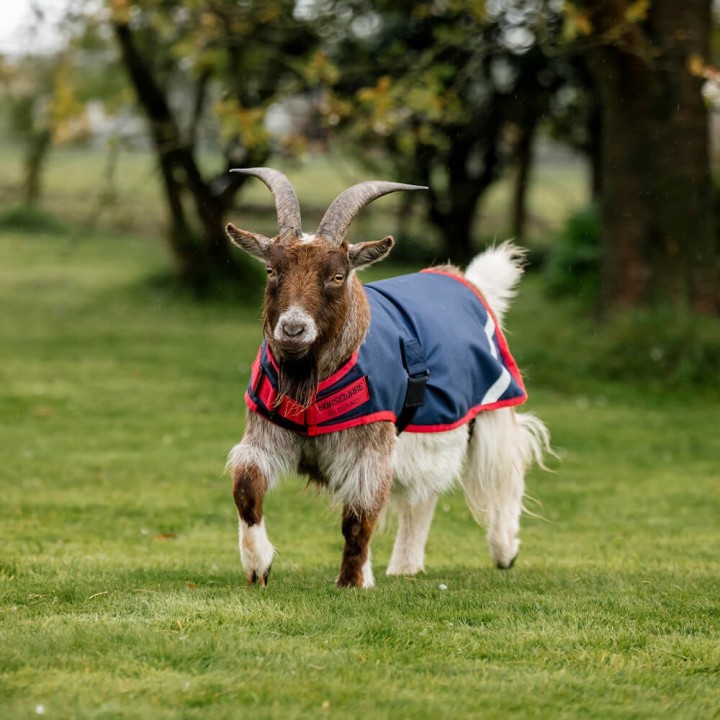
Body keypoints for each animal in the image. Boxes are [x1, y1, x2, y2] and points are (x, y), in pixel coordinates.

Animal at [225, 168, 550, 588]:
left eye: (337, 275)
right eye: (271, 270)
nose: (293, 329)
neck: (314, 379)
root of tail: (468, 280)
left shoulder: (371, 444)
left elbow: (359, 517)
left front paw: (351, 582)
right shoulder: (268, 429)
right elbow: (246, 484)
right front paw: (257, 565)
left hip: (492, 407)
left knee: (505, 470)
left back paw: (505, 549)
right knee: (423, 494)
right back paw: (405, 564)